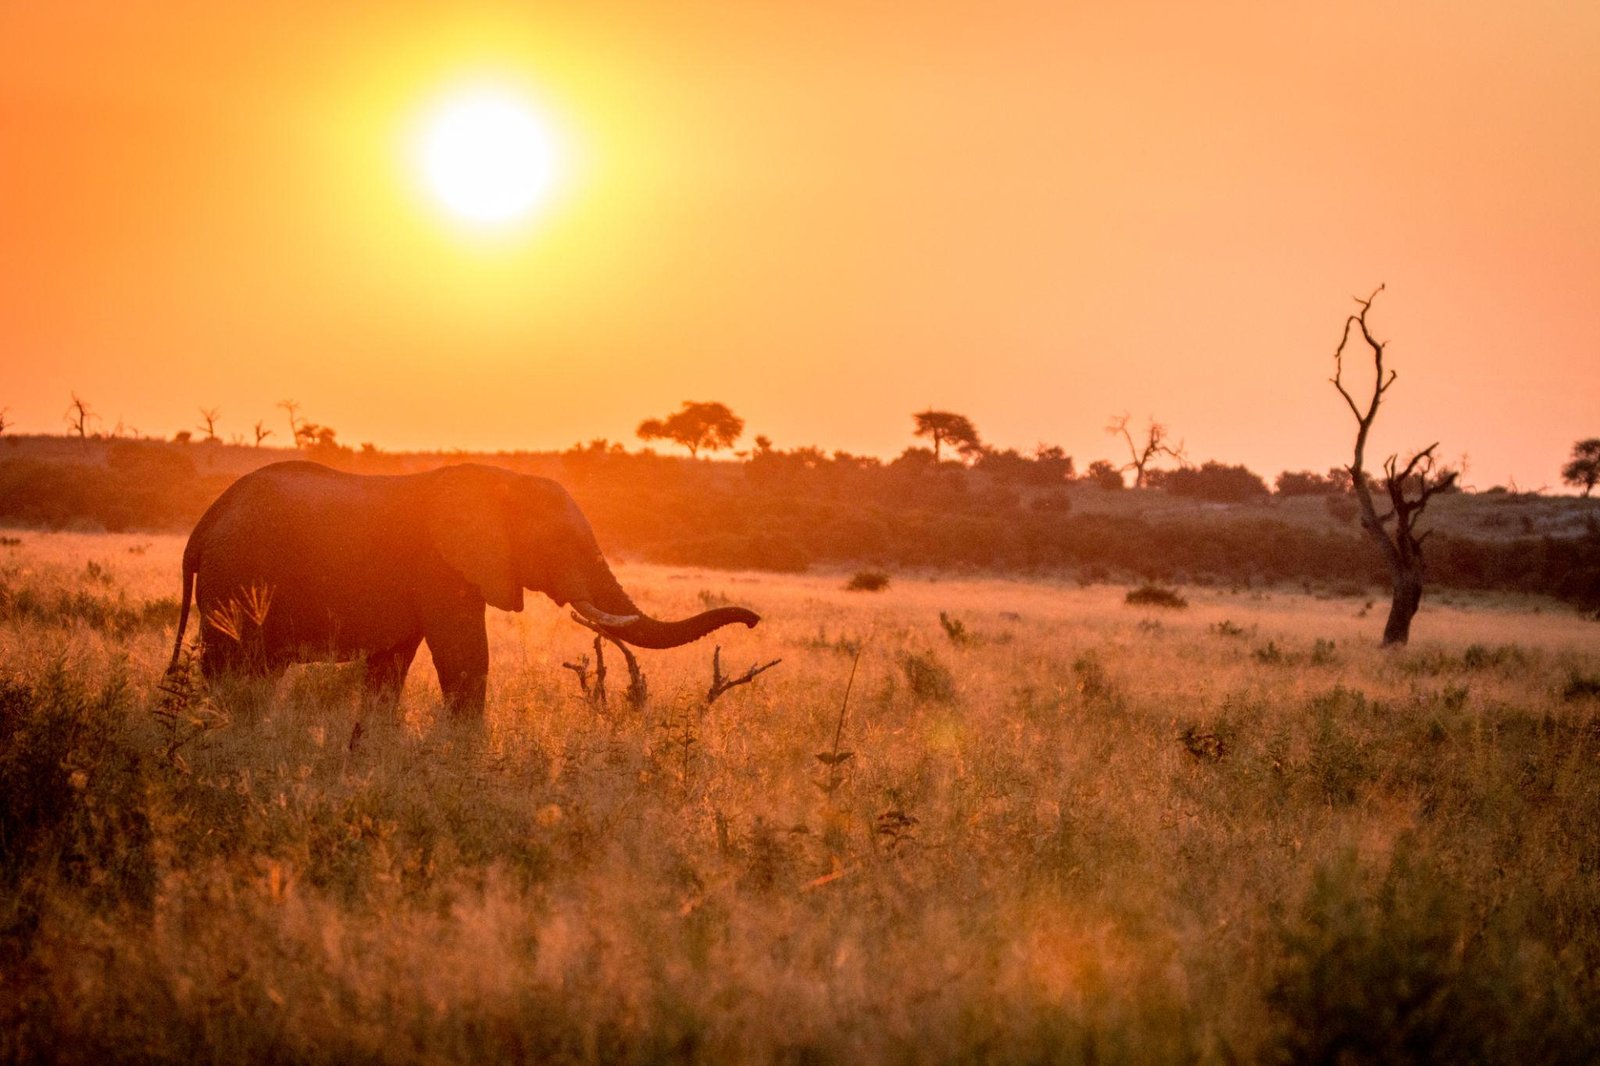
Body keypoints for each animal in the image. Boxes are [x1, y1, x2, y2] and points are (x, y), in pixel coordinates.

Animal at [166, 460, 760, 715]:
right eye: (562, 543)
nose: (754, 621)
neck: (502, 481)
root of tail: (201, 528)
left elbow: (390, 670)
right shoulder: (442, 569)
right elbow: (465, 661)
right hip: (233, 584)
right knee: (234, 667)